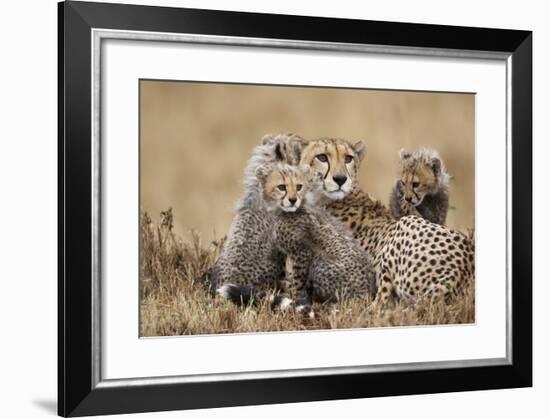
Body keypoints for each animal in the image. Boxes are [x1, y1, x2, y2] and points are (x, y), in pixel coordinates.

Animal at [300, 137, 476, 304]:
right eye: (322, 157)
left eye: (348, 158)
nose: (340, 179)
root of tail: (462, 267)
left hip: (404, 227)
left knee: (382, 301)